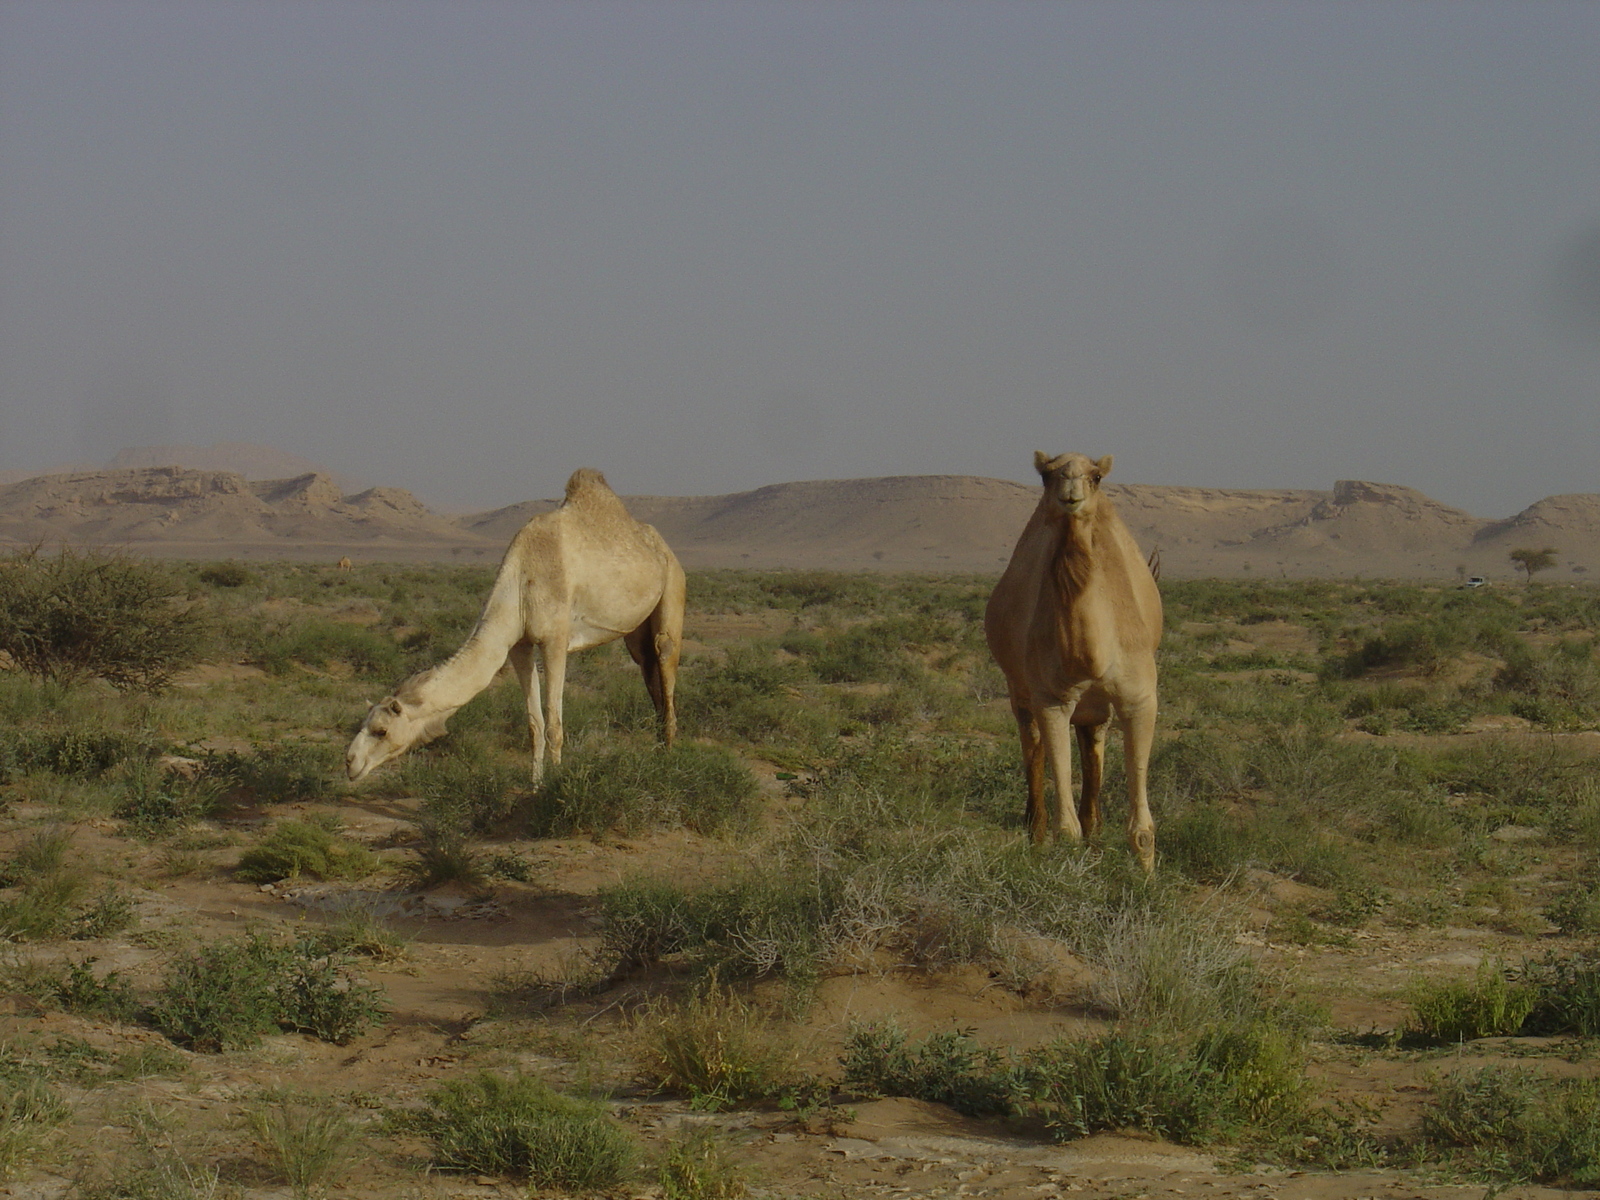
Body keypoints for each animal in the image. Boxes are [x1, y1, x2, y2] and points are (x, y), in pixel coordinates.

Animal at [344, 470, 681, 790]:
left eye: (381, 730)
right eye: (363, 722)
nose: (349, 761)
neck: (520, 583)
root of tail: (663, 548)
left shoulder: (555, 641)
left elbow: (554, 723)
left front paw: (555, 784)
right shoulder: (519, 644)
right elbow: (534, 724)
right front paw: (535, 784)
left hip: (673, 589)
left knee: (665, 663)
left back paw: (667, 760)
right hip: (636, 633)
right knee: (648, 669)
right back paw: (656, 750)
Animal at [985, 451, 1164, 876]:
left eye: (1096, 476)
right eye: (1047, 475)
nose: (1070, 489)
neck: (1091, 656)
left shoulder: (1138, 699)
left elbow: (1142, 829)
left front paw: (1147, 881)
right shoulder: (1052, 700)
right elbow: (1066, 827)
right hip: (1020, 691)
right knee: (1031, 747)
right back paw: (1035, 832)